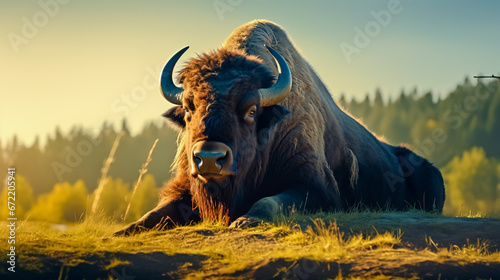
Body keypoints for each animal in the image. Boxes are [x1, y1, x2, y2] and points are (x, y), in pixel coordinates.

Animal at [117, 20, 446, 234]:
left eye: (251, 110)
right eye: (188, 107)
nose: (210, 159)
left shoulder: (315, 188)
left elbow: (269, 202)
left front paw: (245, 221)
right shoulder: (186, 187)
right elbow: (154, 214)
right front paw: (123, 230)